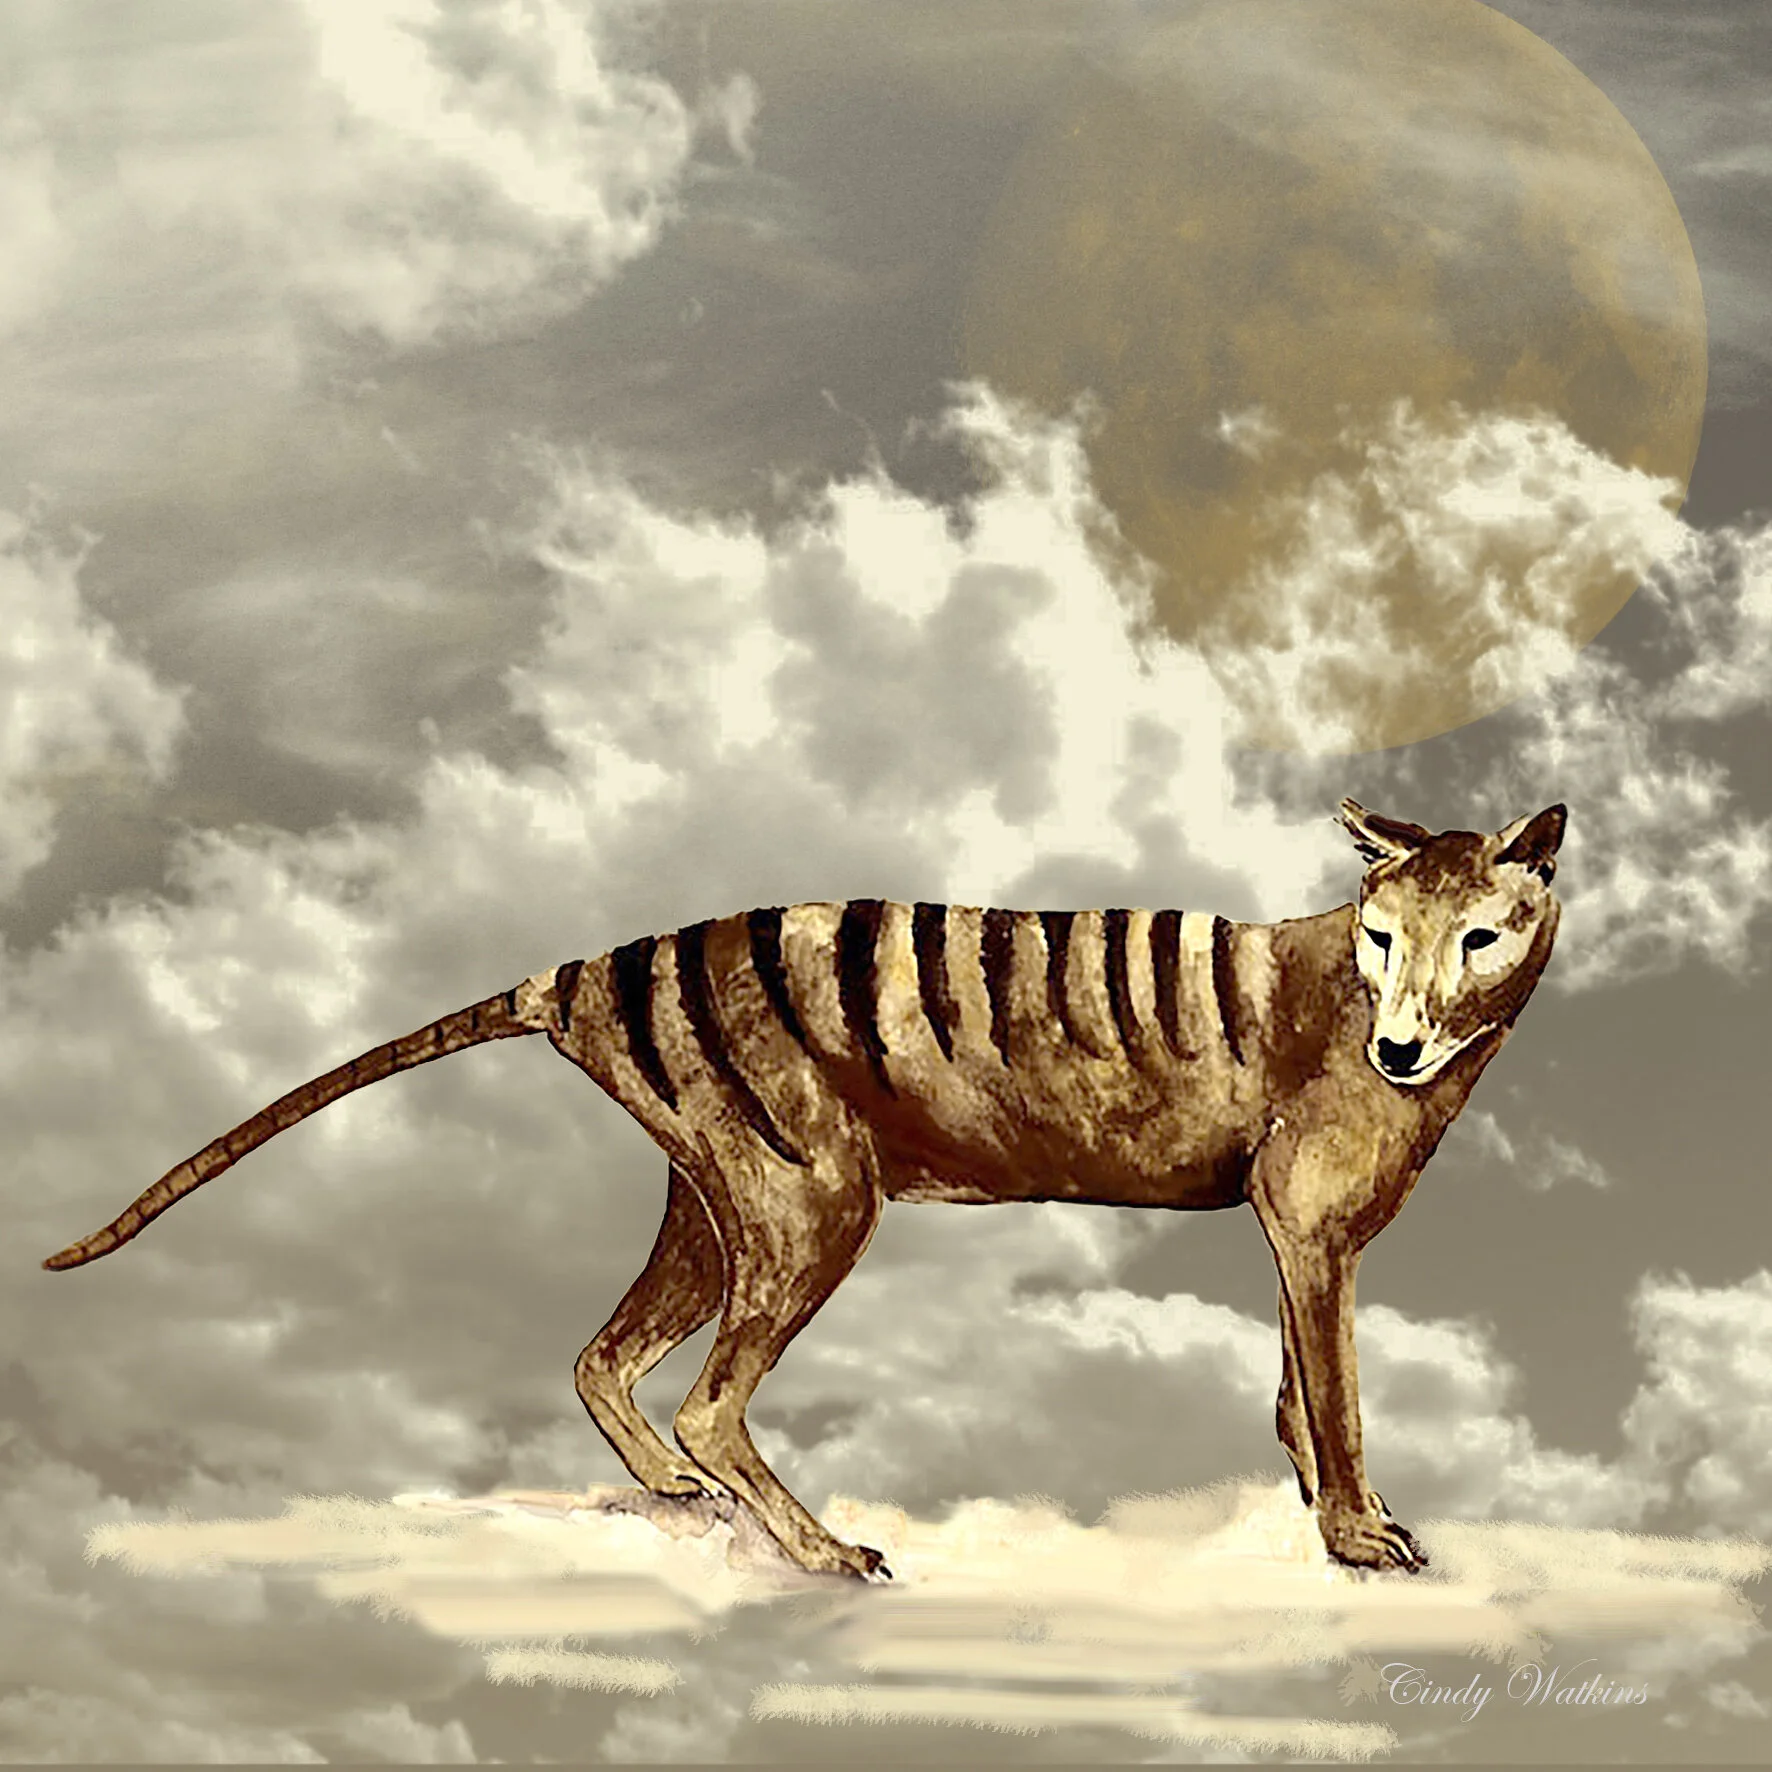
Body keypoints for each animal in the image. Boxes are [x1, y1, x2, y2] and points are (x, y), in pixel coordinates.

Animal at [44, 797, 1566, 1582]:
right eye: (1384, 934)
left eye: (1479, 932)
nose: (1398, 1049)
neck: (1353, 988)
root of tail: (576, 974)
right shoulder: (1312, 1223)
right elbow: (1338, 1389)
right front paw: (1359, 1530)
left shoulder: (1292, 1232)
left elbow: (1296, 1388)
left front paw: (1317, 1497)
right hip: (810, 1203)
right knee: (710, 1400)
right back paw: (818, 1546)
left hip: (716, 1192)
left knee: (604, 1359)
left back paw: (678, 1494)